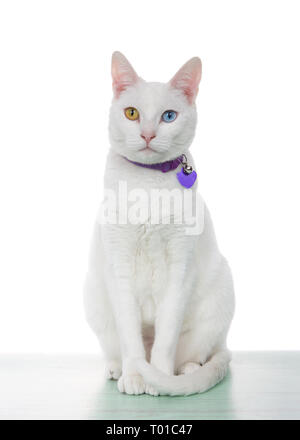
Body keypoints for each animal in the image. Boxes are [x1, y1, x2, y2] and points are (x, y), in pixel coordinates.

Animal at [84, 51, 234, 396]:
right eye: (132, 113)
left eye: (168, 116)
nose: (148, 134)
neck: (148, 185)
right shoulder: (119, 266)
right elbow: (132, 340)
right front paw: (134, 376)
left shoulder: (180, 268)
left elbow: (165, 340)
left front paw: (159, 378)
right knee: (119, 348)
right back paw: (116, 369)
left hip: (219, 297)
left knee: (197, 354)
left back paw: (184, 371)